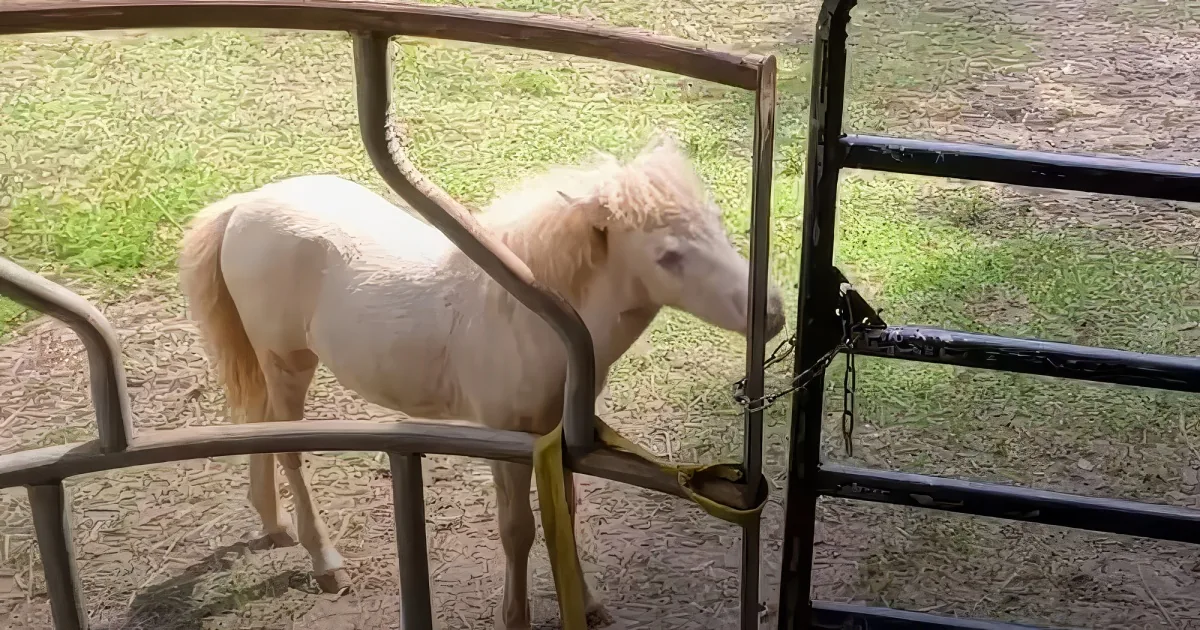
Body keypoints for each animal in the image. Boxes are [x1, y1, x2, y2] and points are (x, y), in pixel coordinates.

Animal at [178, 134, 786, 629]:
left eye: (717, 222)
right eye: (668, 255)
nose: (774, 313)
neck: (532, 317)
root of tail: (241, 206)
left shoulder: (559, 436)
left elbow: (564, 511)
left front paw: (588, 605)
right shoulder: (506, 438)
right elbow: (517, 528)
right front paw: (514, 617)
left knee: (257, 422)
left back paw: (272, 522)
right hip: (286, 360)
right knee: (288, 448)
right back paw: (325, 562)